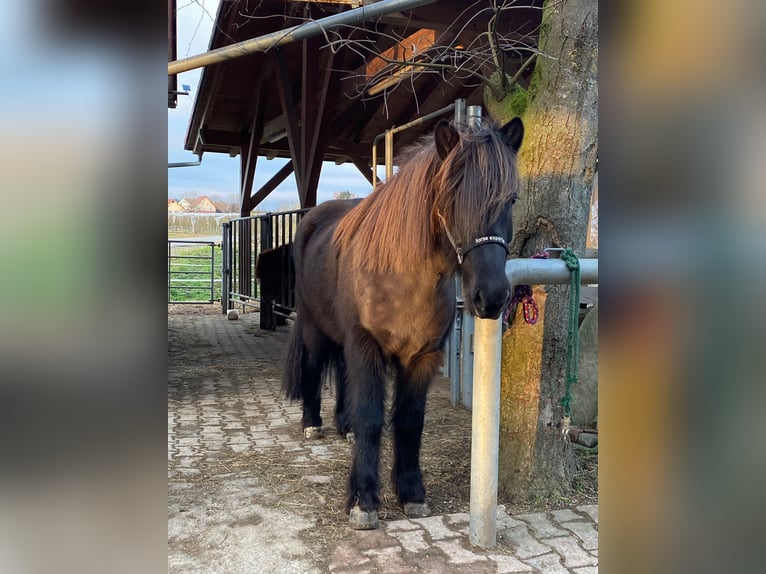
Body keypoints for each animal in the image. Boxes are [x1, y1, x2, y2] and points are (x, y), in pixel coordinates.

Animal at [284, 117, 524, 532]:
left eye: (510, 199)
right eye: (451, 196)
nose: (491, 296)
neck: (401, 276)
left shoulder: (422, 357)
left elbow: (410, 422)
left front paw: (412, 494)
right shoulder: (366, 347)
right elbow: (371, 419)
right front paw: (364, 502)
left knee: (343, 374)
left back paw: (343, 426)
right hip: (315, 329)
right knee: (314, 368)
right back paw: (312, 423)